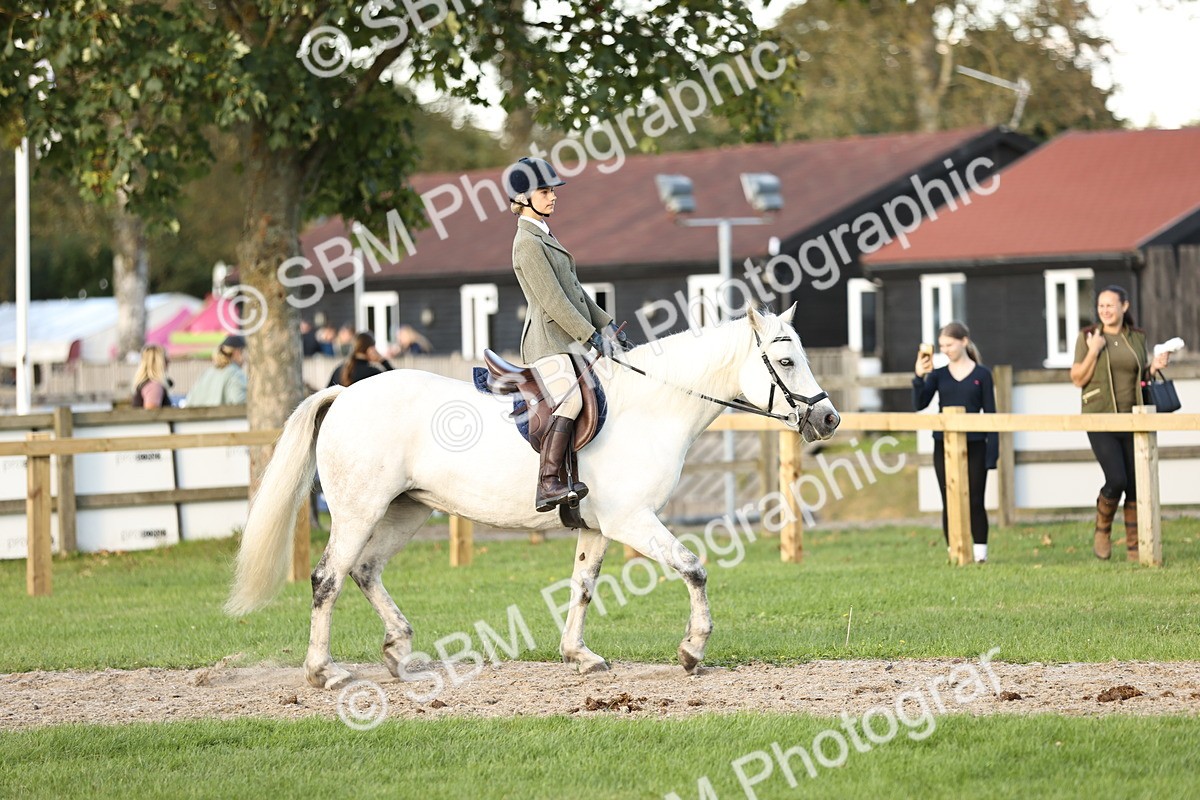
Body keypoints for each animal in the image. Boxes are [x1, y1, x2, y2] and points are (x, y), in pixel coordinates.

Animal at [226, 305, 841, 689]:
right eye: (786, 361)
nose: (829, 418)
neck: (652, 406)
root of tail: (345, 392)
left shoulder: (596, 526)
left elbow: (583, 587)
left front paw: (579, 656)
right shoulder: (632, 520)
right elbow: (693, 568)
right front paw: (692, 651)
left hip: (407, 509)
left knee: (365, 570)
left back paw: (401, 653)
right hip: (359, 510)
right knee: (328, 578)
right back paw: (324, 672)